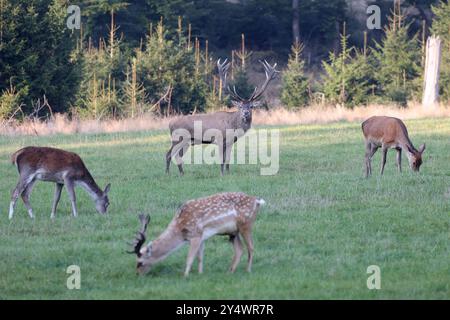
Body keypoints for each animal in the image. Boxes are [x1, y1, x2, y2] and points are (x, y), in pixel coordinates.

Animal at [126, 192, 266, 278]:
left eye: (140, 262)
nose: (137, 274)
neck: (180, 231)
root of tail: (257, 201)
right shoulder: (202, 237)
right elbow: (200, 257)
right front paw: (200, 274)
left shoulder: (195, 235)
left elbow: (190, 258)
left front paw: (185, 276)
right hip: (233, 232)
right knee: (239, 249)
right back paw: (229, 271)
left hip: (246, 224)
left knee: (251, 247)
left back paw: (248, 270)